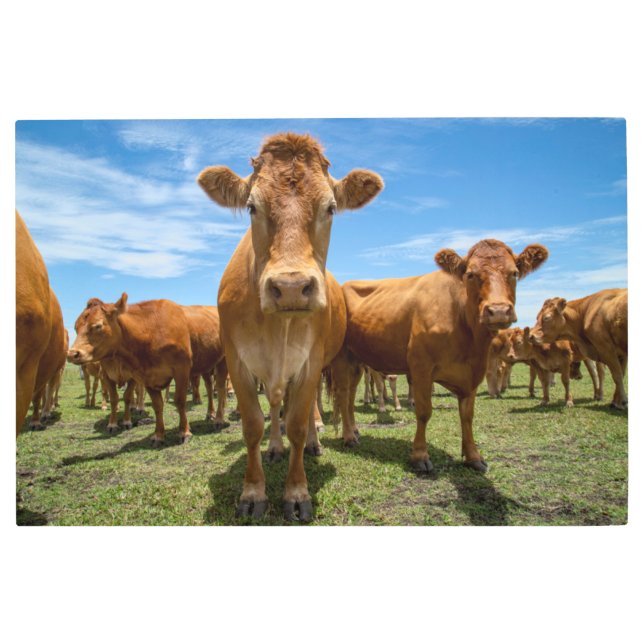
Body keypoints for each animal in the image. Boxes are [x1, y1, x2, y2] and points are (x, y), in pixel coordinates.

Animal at [67, 295, 193, 444]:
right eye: (76, 327)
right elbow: (119, 399)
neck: (150, 333)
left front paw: (184, 432)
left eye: (98, 326)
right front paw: (113, 424)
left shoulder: (181, 370)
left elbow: (178, 400)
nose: (72, 354)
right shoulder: (123, 375)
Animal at [198, 132, 383, 521]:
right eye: (252, 207)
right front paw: (253, 492)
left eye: (330, 208)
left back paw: (317, 441)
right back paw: (275, 447)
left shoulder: (311, 362)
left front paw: (297, 493)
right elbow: (254, 424)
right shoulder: (237, 362)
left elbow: (297, 422)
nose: (292, 287)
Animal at [331, 239, 548, 473]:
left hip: (356, 359)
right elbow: (424, 412)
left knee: (351, 394)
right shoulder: (421, 367)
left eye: (514, 273)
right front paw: (420, 456)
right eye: (470, 274)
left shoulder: (473, 372)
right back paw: (348, 437)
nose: (498, 311)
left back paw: (354, 430)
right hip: (341, 357)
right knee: (342, 394)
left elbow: (467, 415)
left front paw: (473, 456)